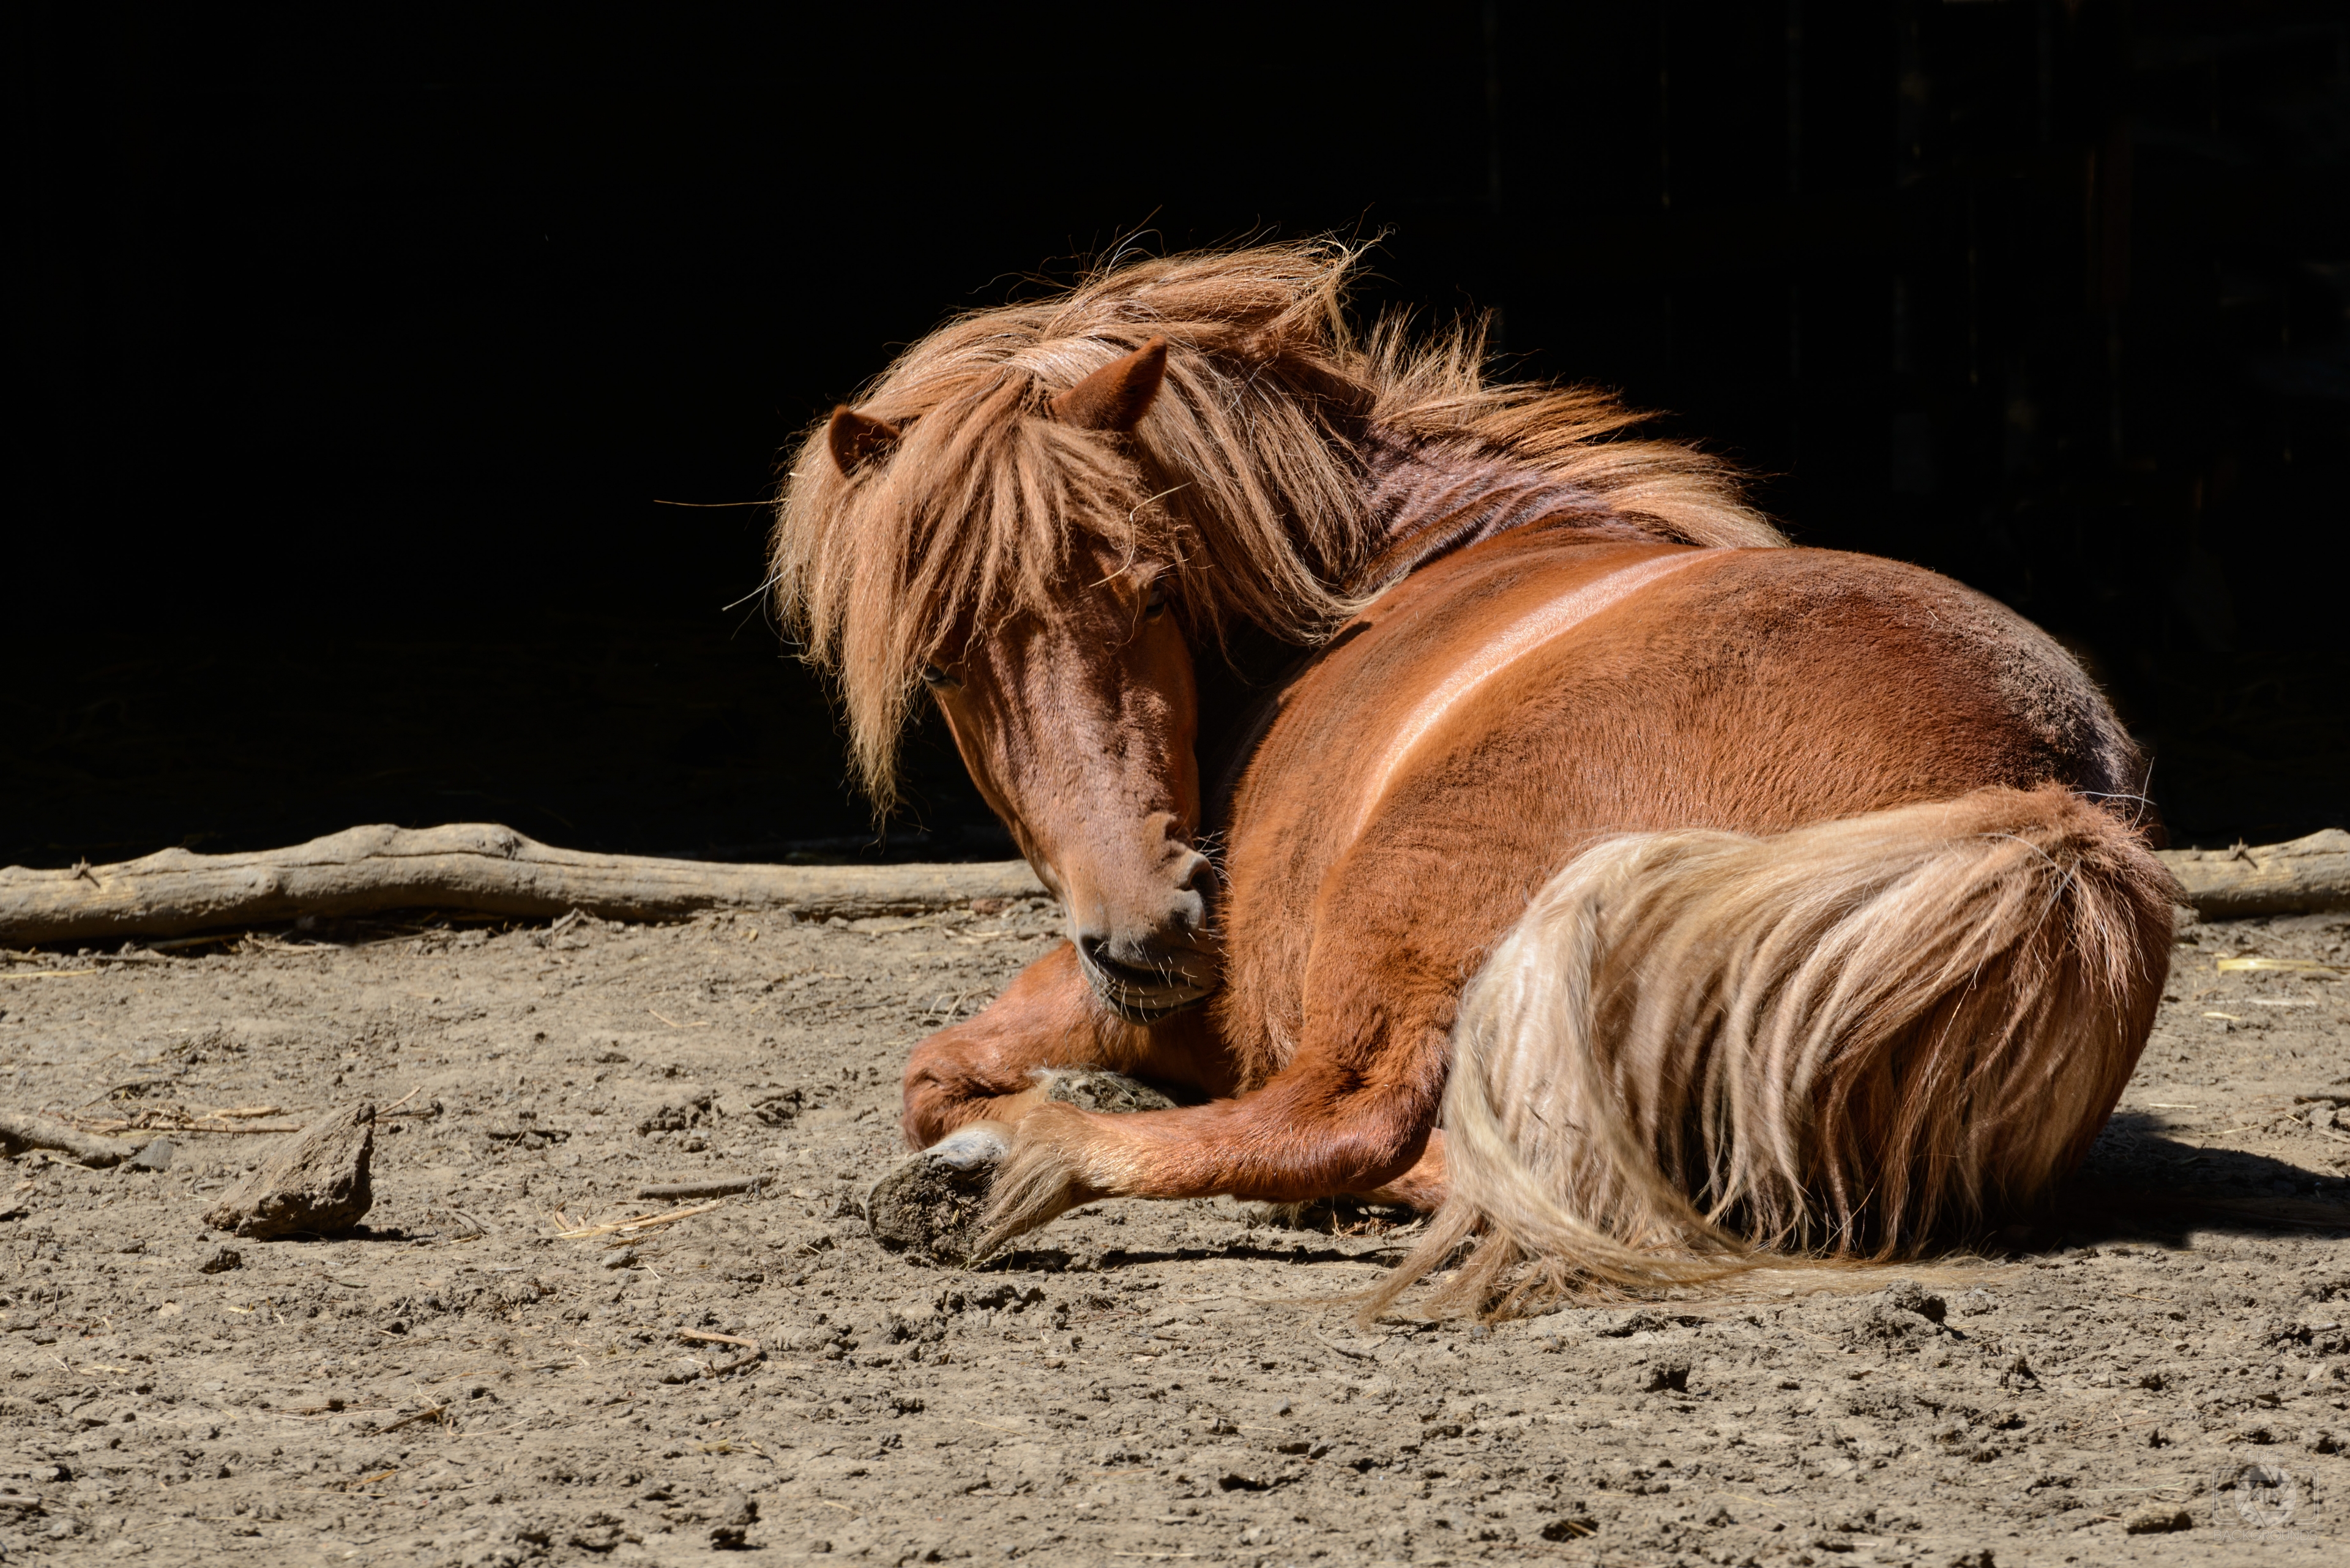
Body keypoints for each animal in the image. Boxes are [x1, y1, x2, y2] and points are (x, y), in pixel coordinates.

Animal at [770, 242, 2162, 1316]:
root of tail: (2040, 817)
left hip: (1411, 903)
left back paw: (1011, 1169)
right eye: (943, 662)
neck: (1369, 575)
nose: (1150, 926)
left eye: (1156, 590)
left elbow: (936, 1068)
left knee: (1365, 1127)